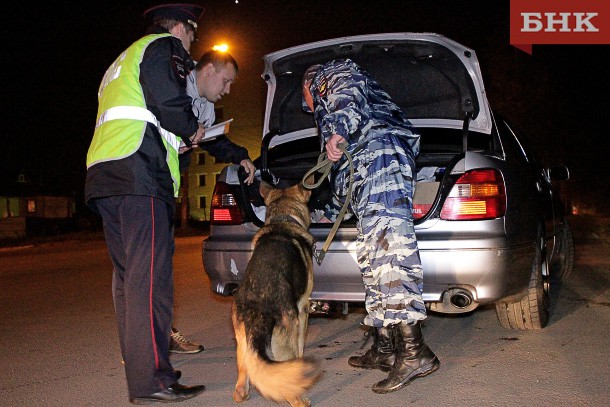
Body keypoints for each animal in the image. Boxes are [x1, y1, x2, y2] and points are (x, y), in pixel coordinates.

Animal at [230, 181, 320, 407]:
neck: (283, 218)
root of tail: (258, 308)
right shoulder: (303, 308)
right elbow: (301, 343)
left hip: (241, 340)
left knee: (245, 371)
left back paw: (241, 393)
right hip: (287, 331)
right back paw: (299, 397)